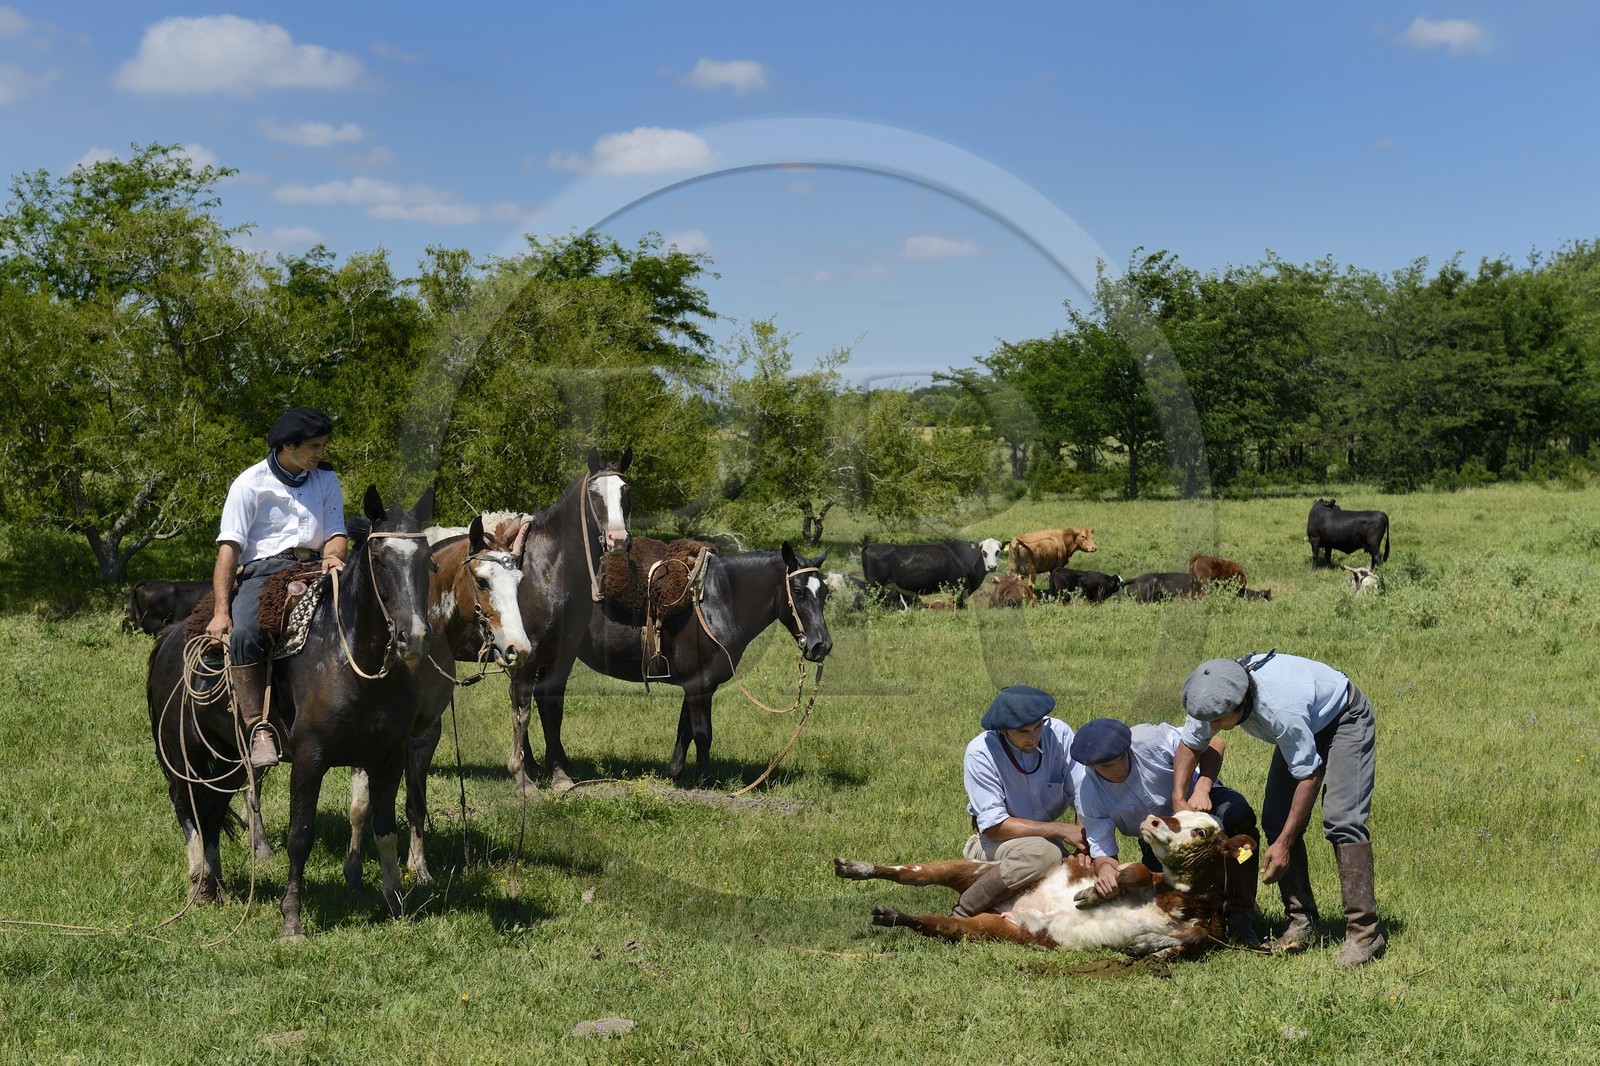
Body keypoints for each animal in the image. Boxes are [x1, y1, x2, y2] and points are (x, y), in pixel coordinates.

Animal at [835, 810, 1254, 960]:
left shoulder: (1212, 931)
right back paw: (855, 867)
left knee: (937, 922)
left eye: (1200, 830)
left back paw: (888, 913)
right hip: (976, 867)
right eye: (1177, 813)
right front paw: (1090, 894)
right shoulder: (1144, 875)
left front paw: (1150, 945)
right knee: (911, 872)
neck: (1181, 900)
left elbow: (1192, 940)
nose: (1153, 820)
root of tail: (1003, 908)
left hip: (990, 929)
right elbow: (1132, 872)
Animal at [860, 538, 1001, 609]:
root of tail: (872, 546)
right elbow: (959, 606)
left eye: (998, 551)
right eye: (983, 552)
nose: (992, 567)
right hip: (874, 586)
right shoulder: (957, 587)